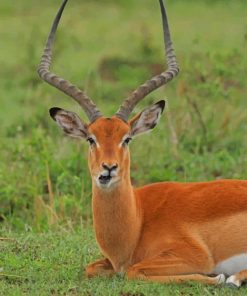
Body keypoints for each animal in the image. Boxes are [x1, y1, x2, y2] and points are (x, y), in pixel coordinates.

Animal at [37, 0, 247, 286]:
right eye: (91, 139)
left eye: (127, 138)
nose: (109, 168)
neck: (137, 222)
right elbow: (91, 267)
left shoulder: (194, 255)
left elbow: (134, 271)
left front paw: (216, 277)